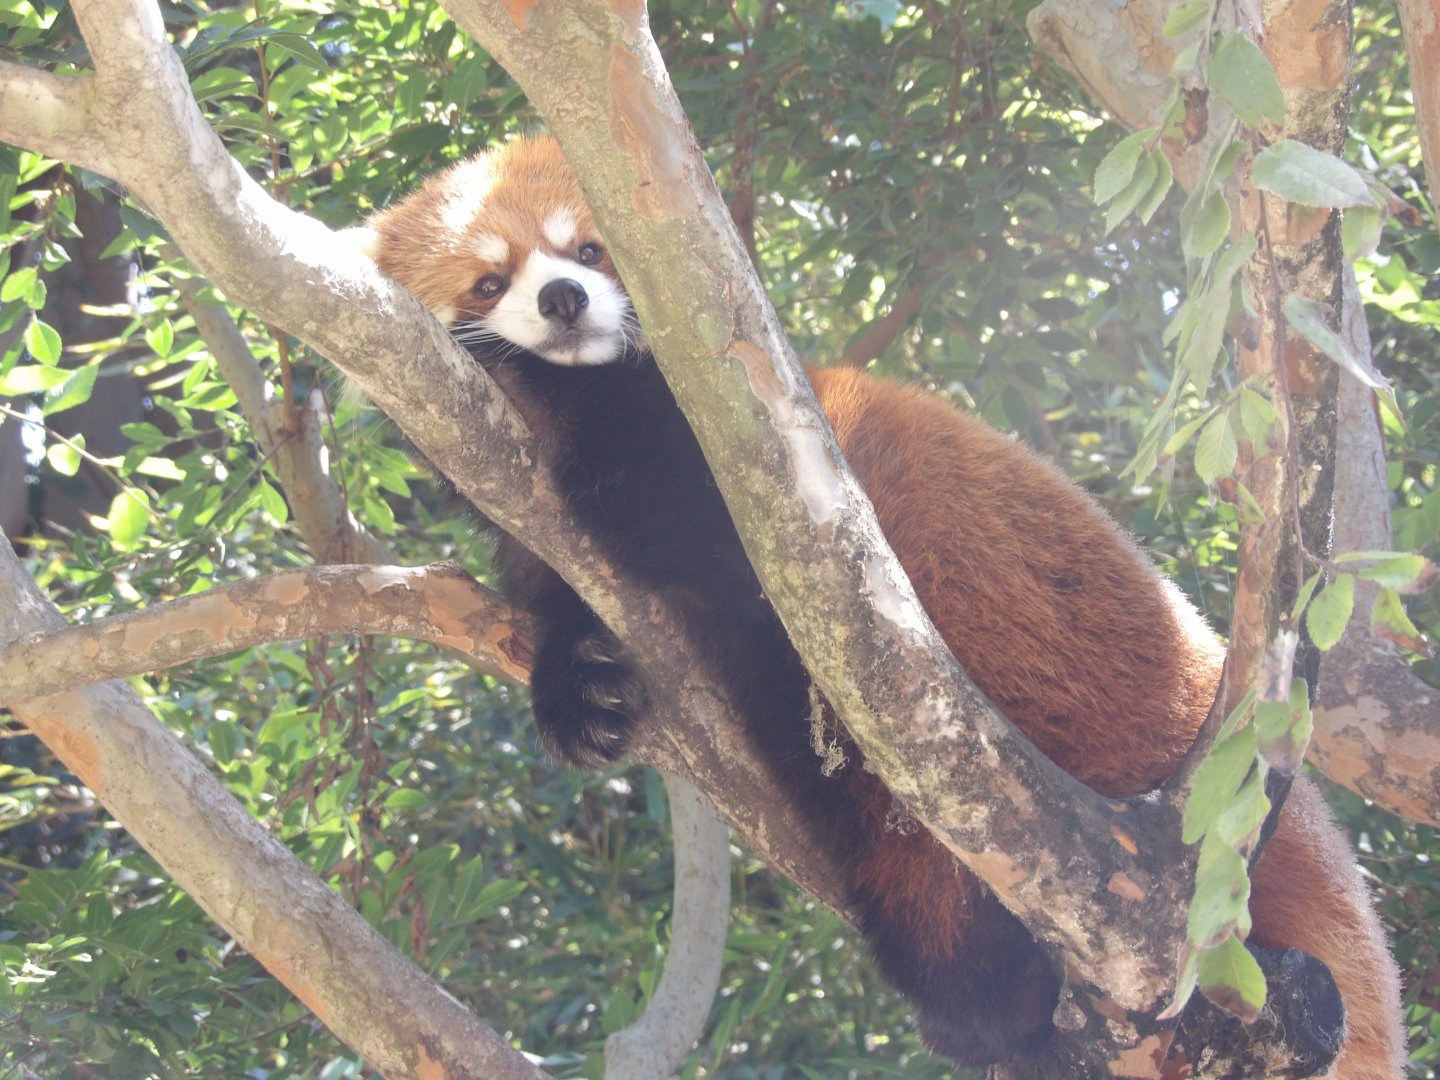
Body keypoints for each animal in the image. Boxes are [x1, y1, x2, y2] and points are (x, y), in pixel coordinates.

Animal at [353, 135, 1405, 1076]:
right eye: (488, 281)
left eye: (590, 251)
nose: (561, 302)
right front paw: (579, 691)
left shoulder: (745, 465)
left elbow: (658, 508)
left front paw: (521, 370)